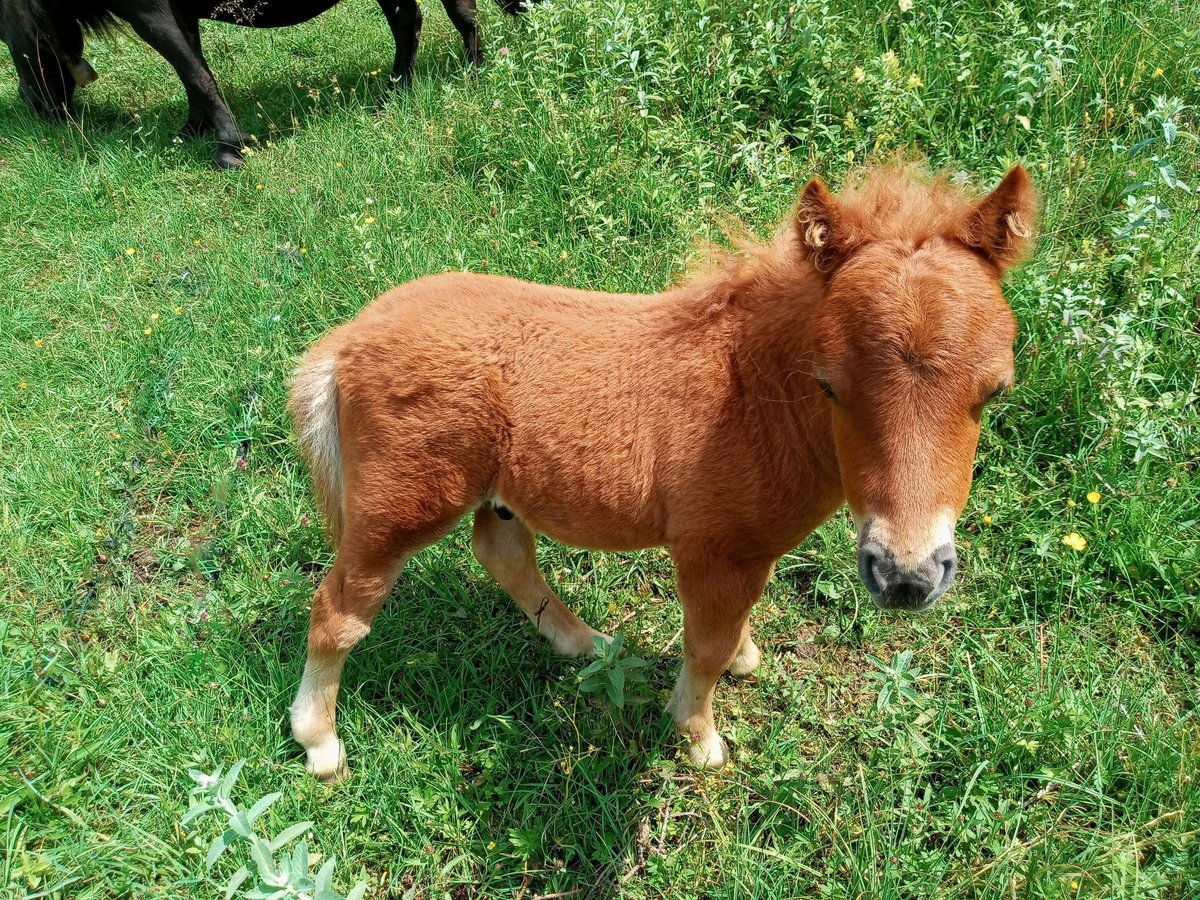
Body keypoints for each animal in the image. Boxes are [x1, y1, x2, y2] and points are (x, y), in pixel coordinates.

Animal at [1, 0, 530, 168]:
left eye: (5, 38)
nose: (36, 107)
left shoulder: (150, 10)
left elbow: (192, 70)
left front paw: (229, 148)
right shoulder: (179, 10)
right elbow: (196, 68)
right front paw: (193, 129)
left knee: (450, 18)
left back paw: (470, 75)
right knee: (417, 22)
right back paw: (397, 94)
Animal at [288, 165, 1032, 777]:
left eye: (995, 391)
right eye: (829, 386)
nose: (907, 577)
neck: (750, 393)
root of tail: (346, 341)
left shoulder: (745, 554)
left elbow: (730, 631)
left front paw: (744, 659)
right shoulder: (713, 549)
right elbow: (704, 646)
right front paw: (699, 737)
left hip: (491, 494)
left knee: (502, 550)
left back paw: (586, 643)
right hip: (402, 503)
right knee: (339, 607)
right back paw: (320, 743)